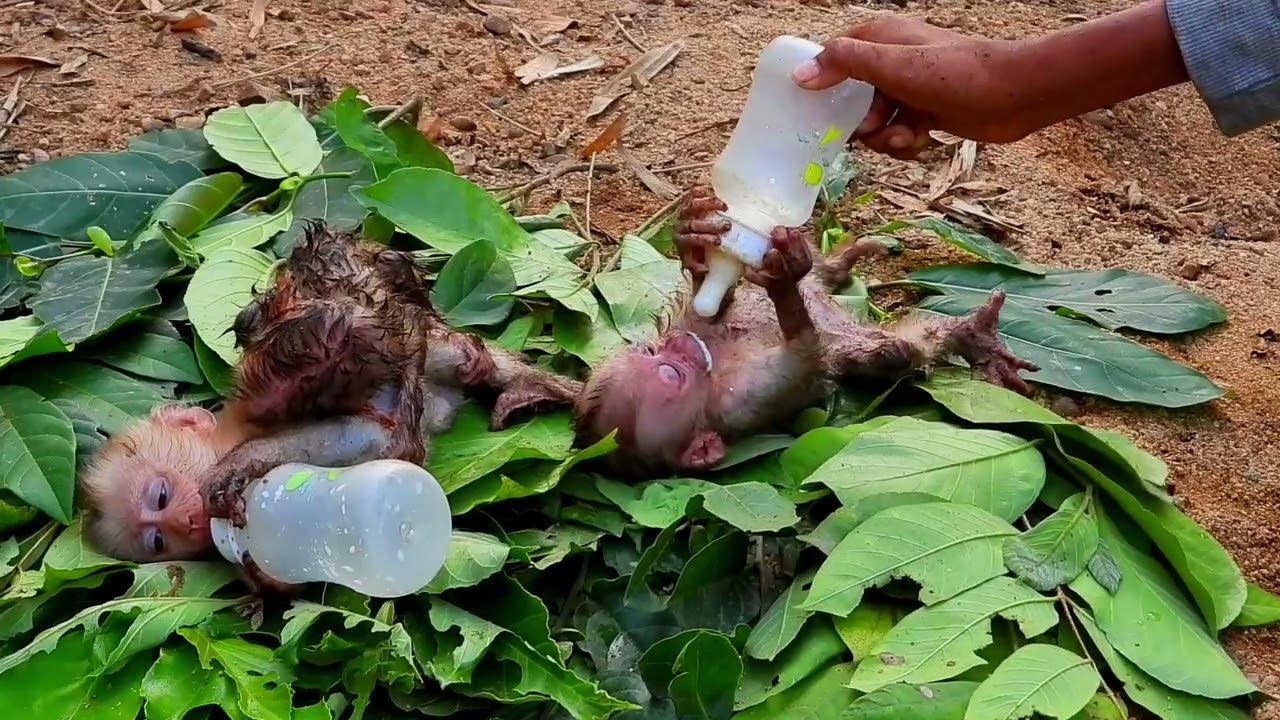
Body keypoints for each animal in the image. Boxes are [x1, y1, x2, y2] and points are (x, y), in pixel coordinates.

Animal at [572, 187, 1039, 479]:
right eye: (670, 374)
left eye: (650, 351)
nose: (677, 344)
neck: (715, 368)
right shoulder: (740, 402)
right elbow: (803, 357)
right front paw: (781, 282)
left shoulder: (698, 322)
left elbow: (715, 302)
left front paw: (694, 236)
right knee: (890, 350)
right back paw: (973, 334)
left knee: (826, 280)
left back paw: (842, 259)